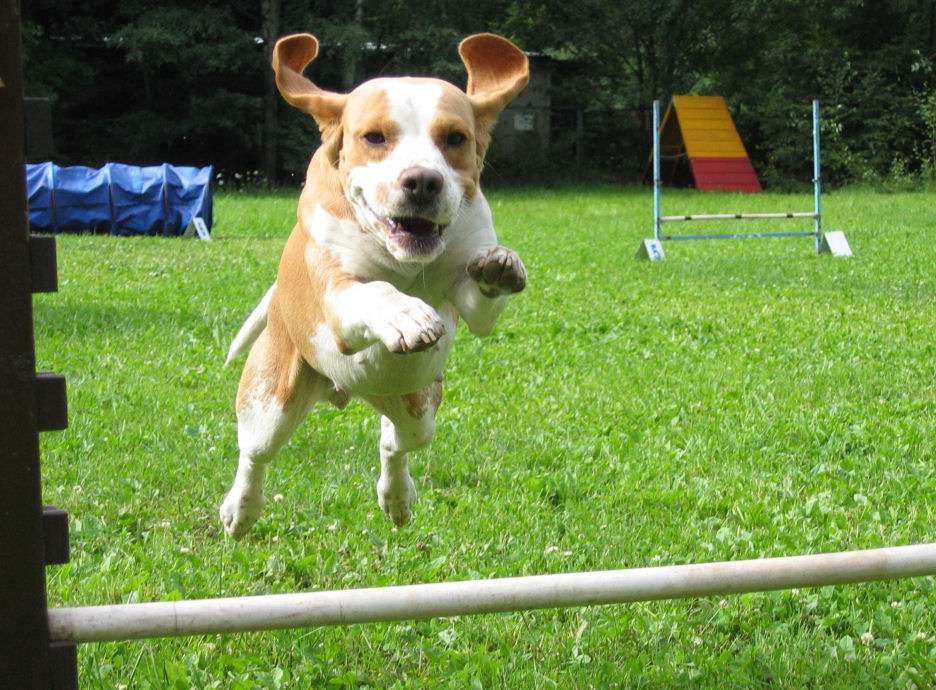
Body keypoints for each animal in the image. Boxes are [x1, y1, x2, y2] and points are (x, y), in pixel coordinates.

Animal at [219, 32, 529, 539]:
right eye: (375, 137)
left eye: (455, 139)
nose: (422, 180)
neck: (401, 260)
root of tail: (345, 391)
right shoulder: (337, 295)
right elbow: (374, 291)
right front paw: (404, 313)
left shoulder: (468, 296)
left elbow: (481, 296)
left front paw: (499, 266)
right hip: (271, 402)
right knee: (254, 454)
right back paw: (240, 510)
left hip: (418, 406)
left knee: (395, 442)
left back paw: (397, 497)